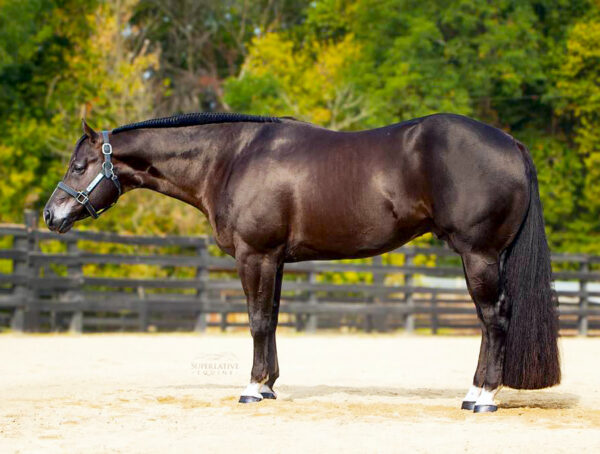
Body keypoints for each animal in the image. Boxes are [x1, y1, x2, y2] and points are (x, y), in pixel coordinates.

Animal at [43, 112, 560, 413]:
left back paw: (483, 397)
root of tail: (511, 144)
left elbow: (255, 320)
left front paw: (252, 389)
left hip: (479, 255)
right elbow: (270, 319)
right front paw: (270, 385)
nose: (51, 215)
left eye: (78, 166)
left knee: (494, 318)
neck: (231, 157)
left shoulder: (255, 254)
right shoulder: (276, 259)